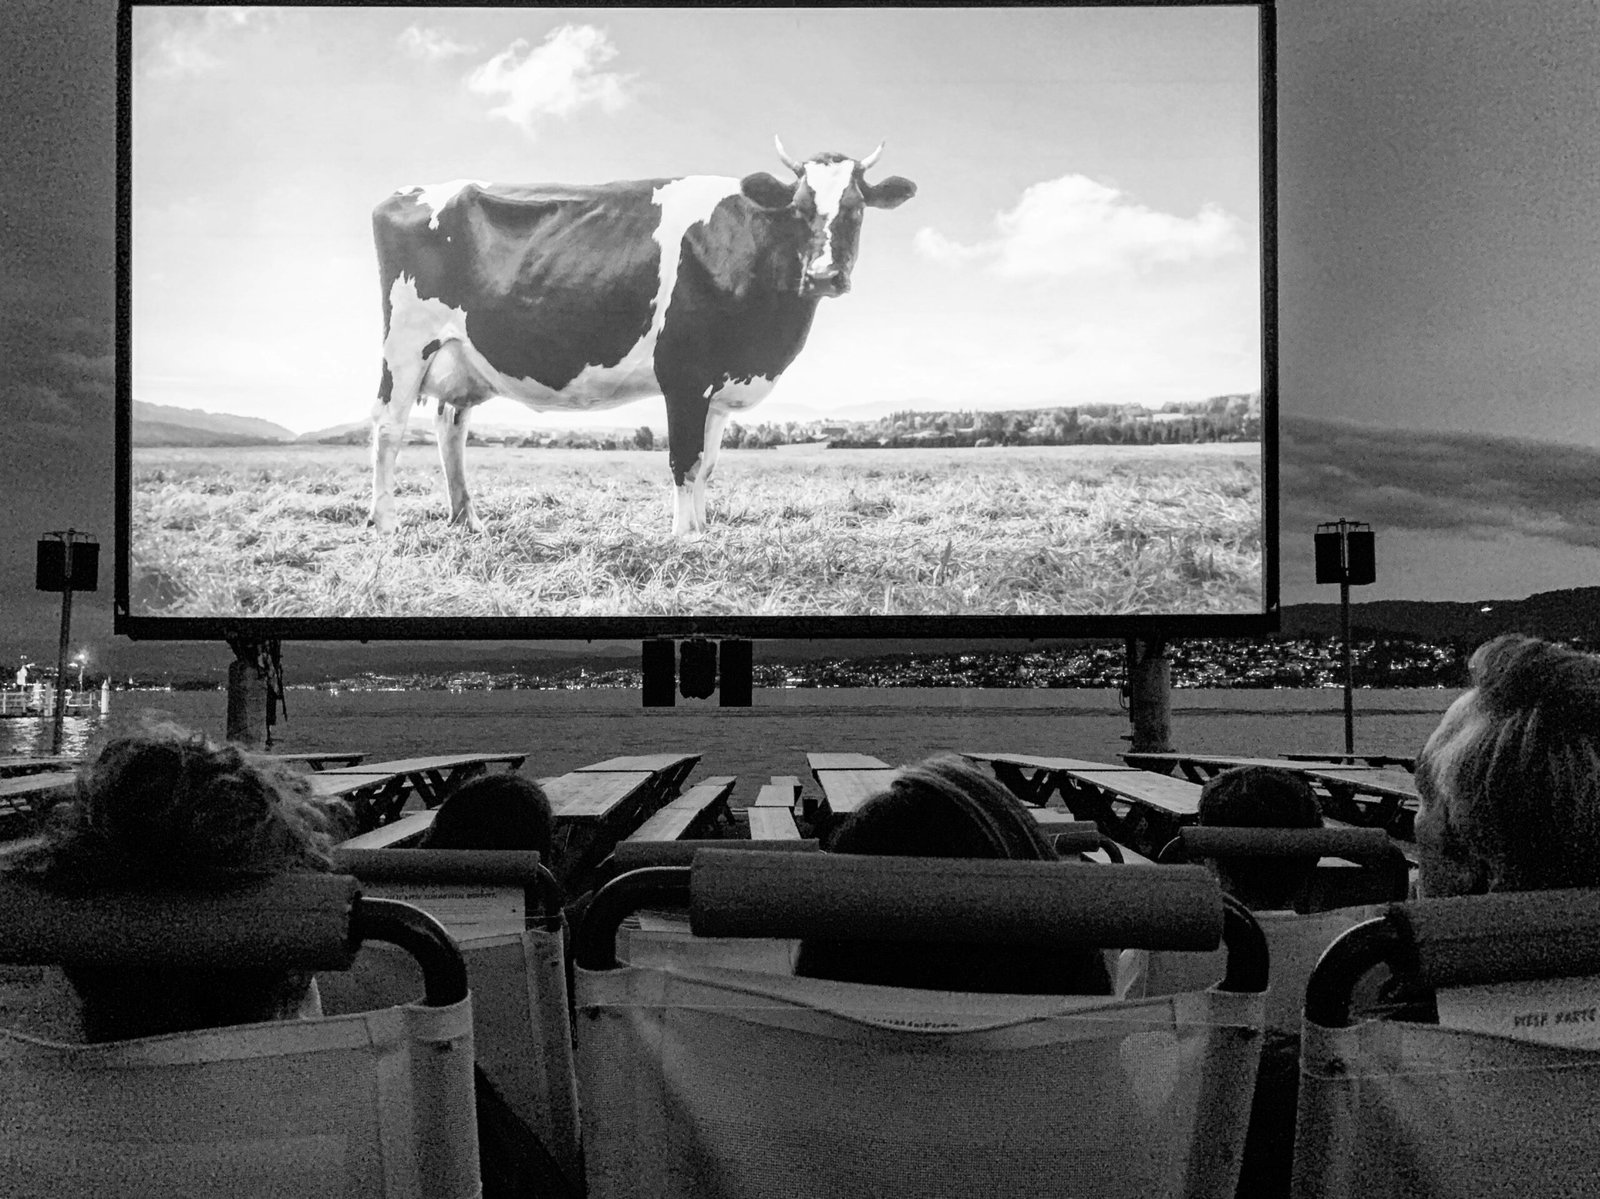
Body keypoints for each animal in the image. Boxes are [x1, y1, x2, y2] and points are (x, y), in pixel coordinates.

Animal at [366, 135, 915, 534]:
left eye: (857, 208)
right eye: (799, 208)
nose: (824, 276)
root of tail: (404, 193)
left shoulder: (718, 385)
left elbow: (707, 463)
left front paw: (703, 531)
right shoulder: (685, 374)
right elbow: (684, 460)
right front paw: (685, 538)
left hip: (460, 356)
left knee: (450, 426)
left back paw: (467, 520)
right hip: (405, 345)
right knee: (389, 426)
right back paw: (386, 524)